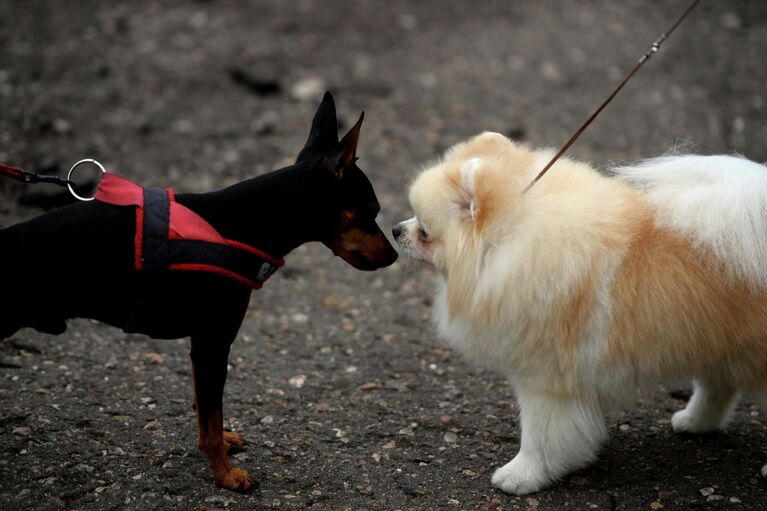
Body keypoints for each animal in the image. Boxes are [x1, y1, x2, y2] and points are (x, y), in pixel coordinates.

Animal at [0, 93, 396, 492]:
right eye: (372, 211)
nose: (394, 254)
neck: (246, 222)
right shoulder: (213, 342)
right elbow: (210, 418)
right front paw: (226, 475)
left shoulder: (202, 346)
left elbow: (204, 409)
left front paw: (223, 448)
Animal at [392, 132, 767, 496]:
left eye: (425, 232)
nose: (396, 229)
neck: (513, 242)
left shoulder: (546, 381)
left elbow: (539, 435)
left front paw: (521, 476)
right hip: (717, 339)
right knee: (719, 385)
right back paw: (694, 422)